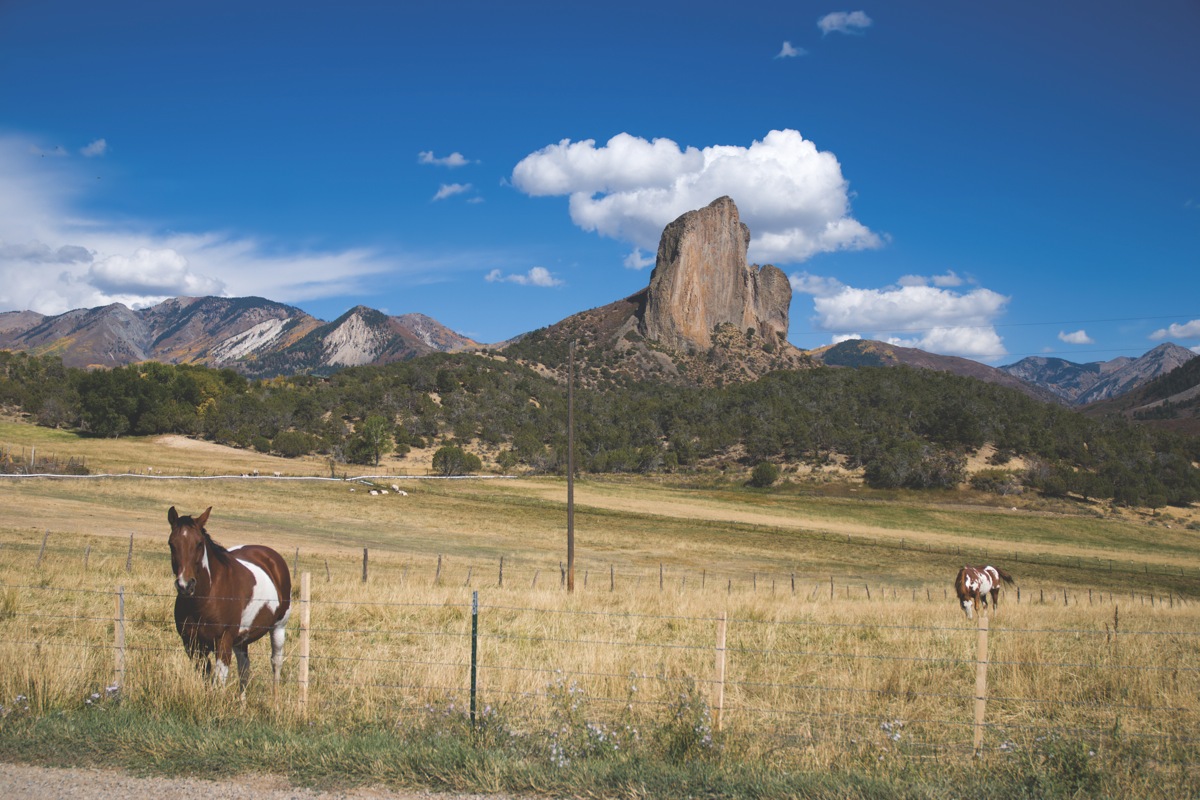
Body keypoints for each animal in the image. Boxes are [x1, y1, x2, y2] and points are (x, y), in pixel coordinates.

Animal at [166, 510, 290, 695]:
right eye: (171, 544)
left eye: (199, 543)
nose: (185, 585)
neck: (205, 599)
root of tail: (270, 556)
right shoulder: (192, 645)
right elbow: (206, 676)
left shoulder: (223, 641)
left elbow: (219, 681)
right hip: (241, 639)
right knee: (244, 668)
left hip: (278, 627)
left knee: (276, 662)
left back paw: (275, 699)